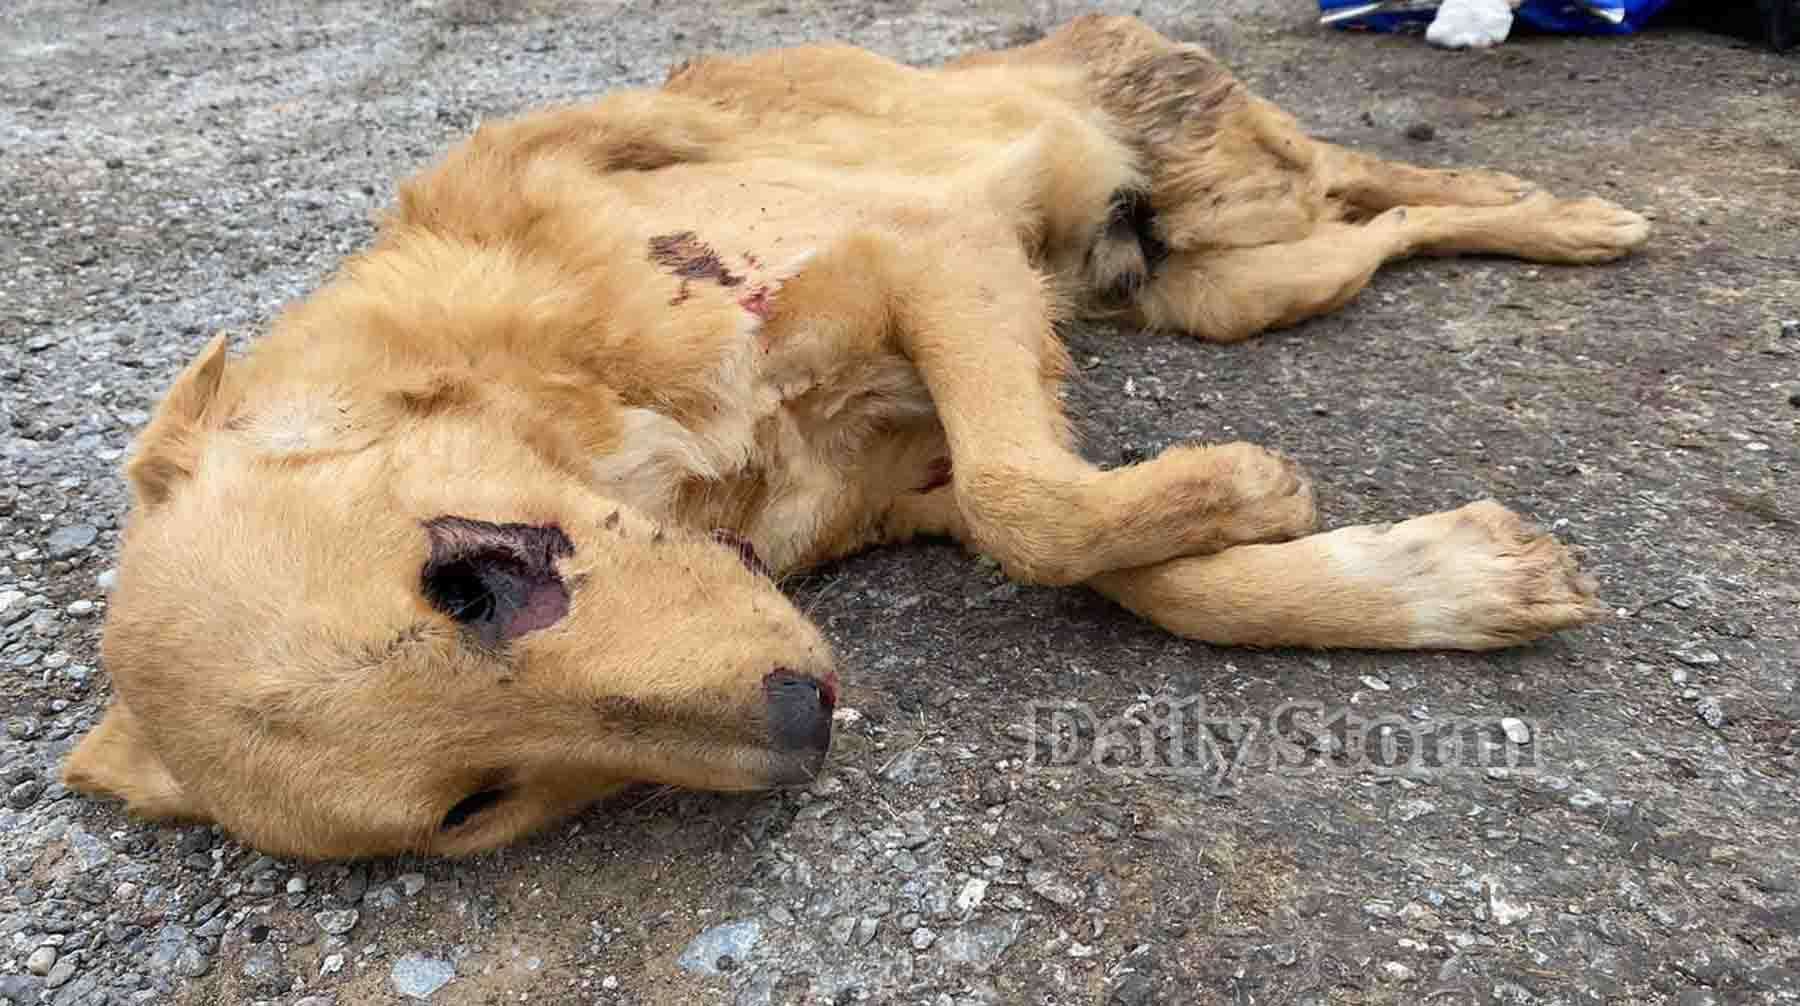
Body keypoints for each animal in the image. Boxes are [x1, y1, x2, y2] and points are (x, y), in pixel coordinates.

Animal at [66, 15, 1648, 863]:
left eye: (467, 580)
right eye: (472, 804)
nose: (802, 721)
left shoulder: (926, 252)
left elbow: (1033, 504)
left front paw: (1260, 493)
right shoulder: (915, 467)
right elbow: (1132, 564)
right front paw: (1440, 573)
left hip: (1231, 191)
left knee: (1393, 182)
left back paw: (1572, 214)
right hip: (1229, 287)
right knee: (1385, 226)